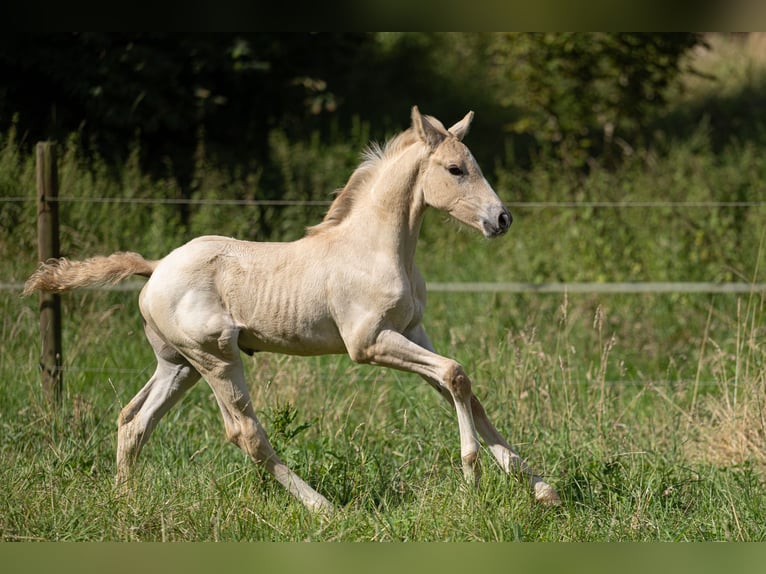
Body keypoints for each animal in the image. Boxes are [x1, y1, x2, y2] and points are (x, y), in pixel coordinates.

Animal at [25, 107, 560, 512]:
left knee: (134, 421)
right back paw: (324, 508)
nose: (501, 219)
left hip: (179, 365)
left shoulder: (412, 331)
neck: (376, 248)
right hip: (217, 359)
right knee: (246, 433)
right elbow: (454, 374)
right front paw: (472, 474)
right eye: (455, 170)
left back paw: (125, 501)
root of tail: (155, 268)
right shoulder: (368, 344)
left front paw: (540, 487)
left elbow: (463, 388)